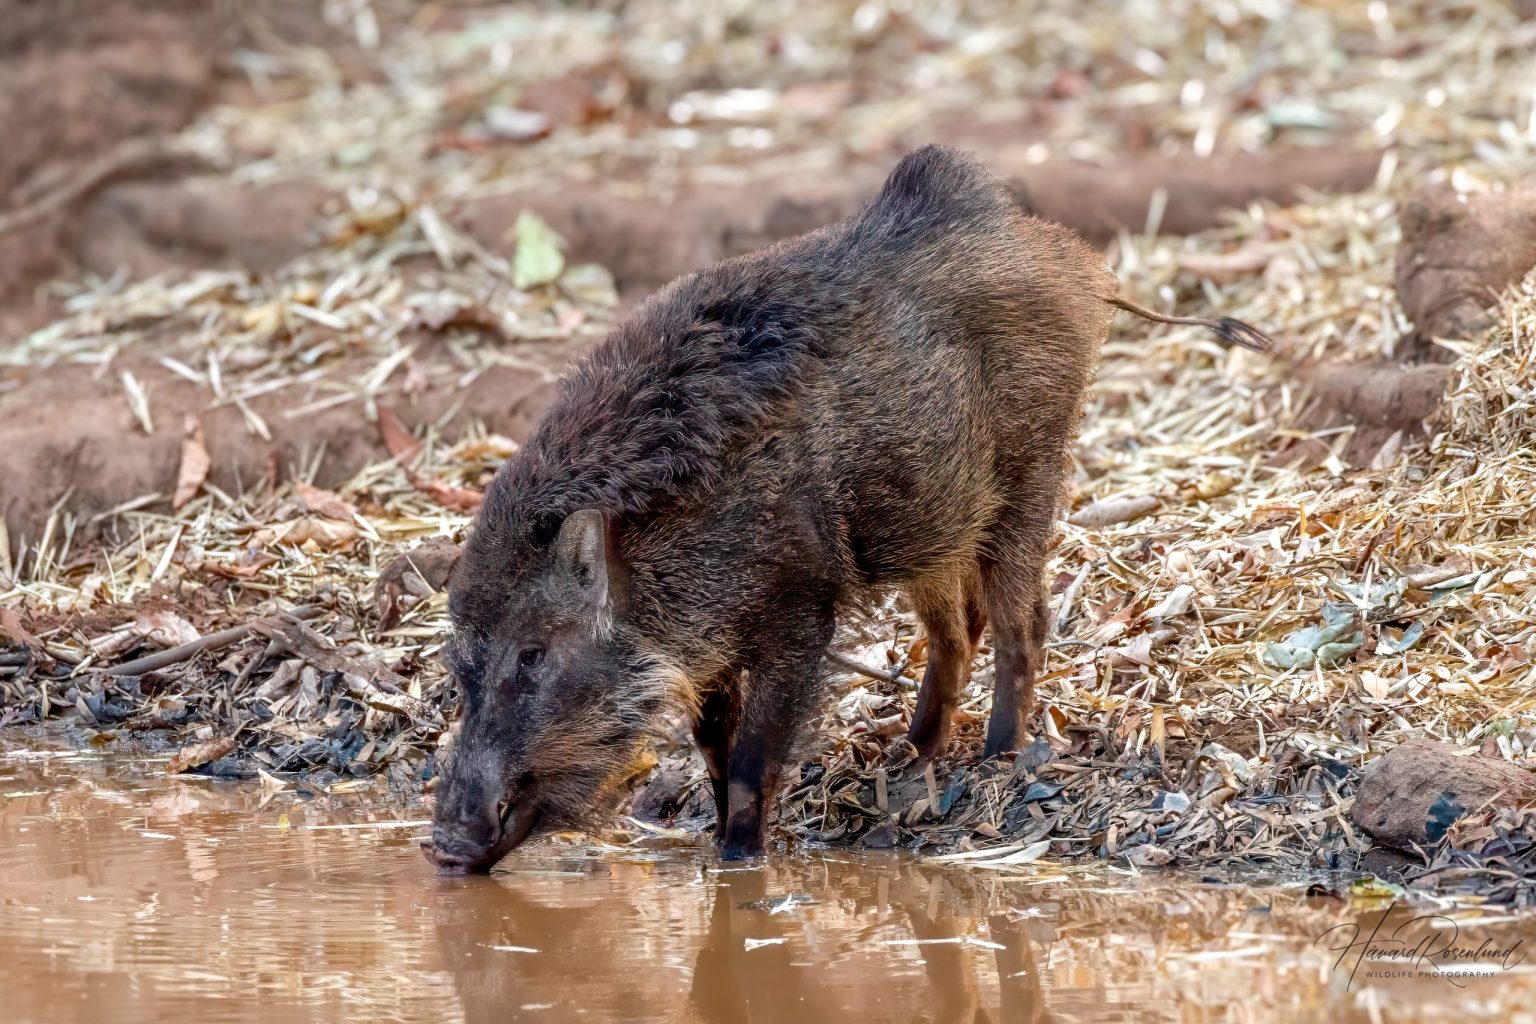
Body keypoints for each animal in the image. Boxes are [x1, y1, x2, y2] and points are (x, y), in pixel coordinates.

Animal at [425, 144, 1269, 873]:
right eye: (459, 666)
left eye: (534, 654)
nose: (444, 845)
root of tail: (1071, 259)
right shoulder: (712, 648)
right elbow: (713, 748)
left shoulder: (801, 608)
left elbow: (751, 760)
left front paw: (740, 867)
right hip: (934, 523)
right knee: (955, 632)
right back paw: (911, 754)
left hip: (1031, 472)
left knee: (1021, 623)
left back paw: (996, 759)